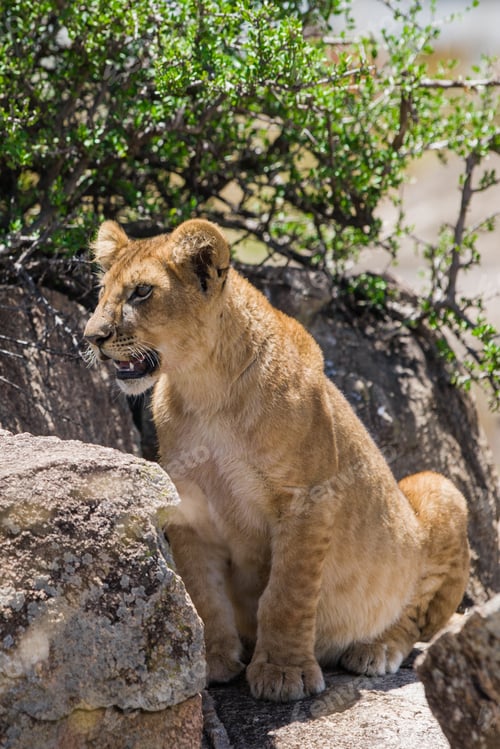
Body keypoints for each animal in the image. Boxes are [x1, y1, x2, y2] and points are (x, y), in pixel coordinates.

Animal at [85, 218, 470, 702]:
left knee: (417, 620)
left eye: (141, 292)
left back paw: (375, 648)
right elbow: (203, 591)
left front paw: (285, 673)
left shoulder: (308, 499)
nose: (91, 336)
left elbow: (287, 592)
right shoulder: (189, 507)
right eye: (103, 292)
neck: (205, 390)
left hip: (439, 489)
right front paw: (211, 662)